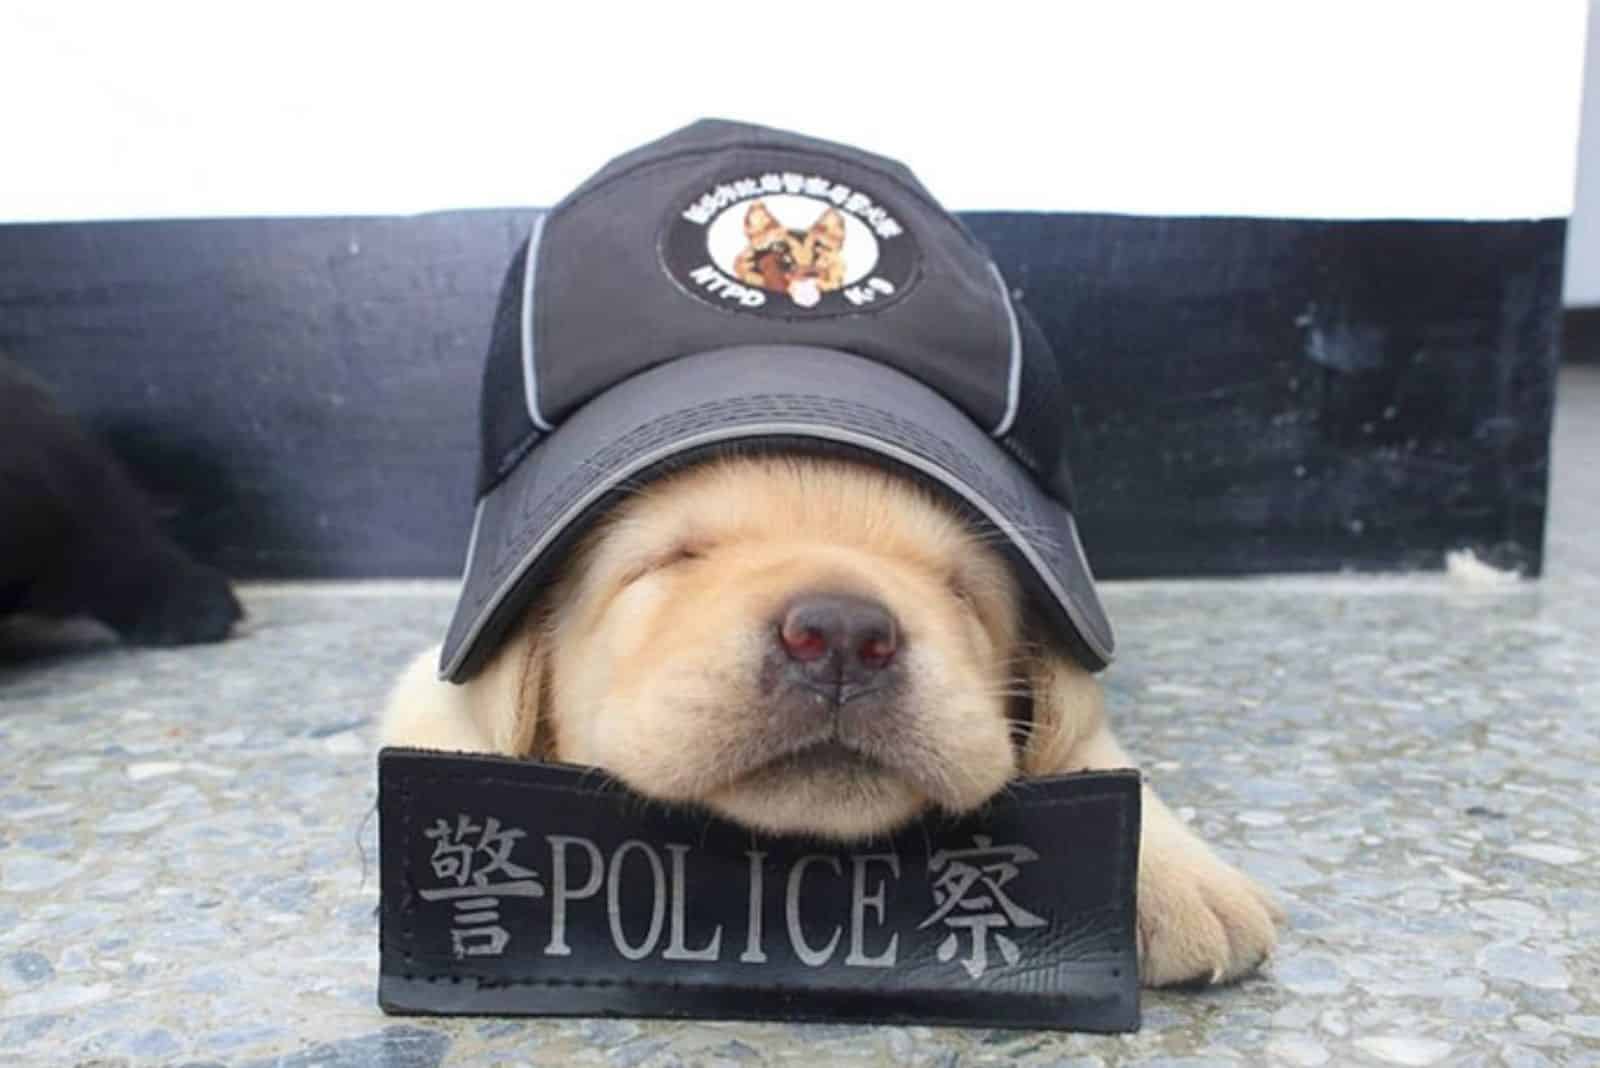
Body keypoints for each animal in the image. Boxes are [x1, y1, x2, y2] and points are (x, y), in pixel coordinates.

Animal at [380, 454, 1280, 991]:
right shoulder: (438, 685)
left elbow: (1083, 729)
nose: (844, 635)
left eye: (959, 589)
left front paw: (1168, 874)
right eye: (676, 559)